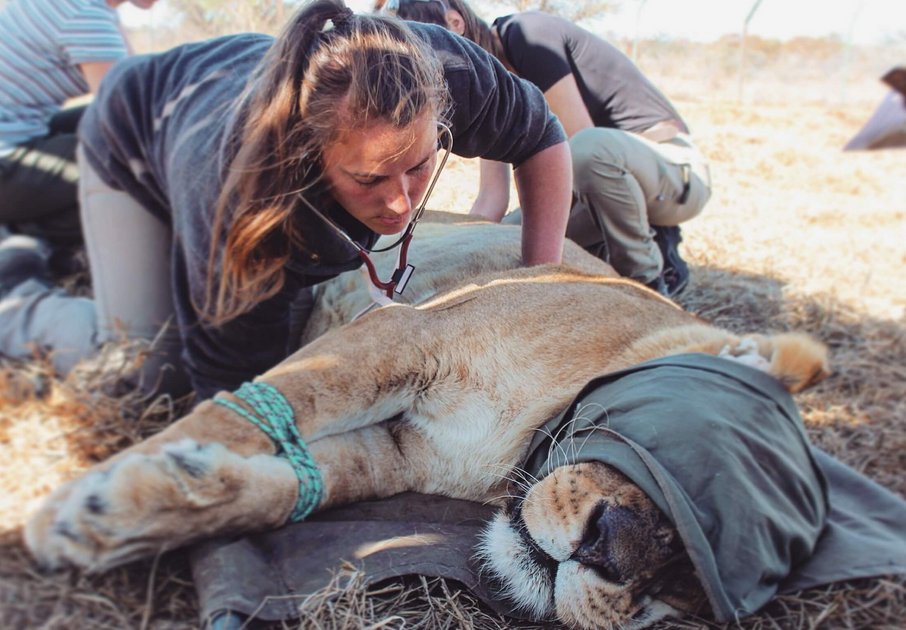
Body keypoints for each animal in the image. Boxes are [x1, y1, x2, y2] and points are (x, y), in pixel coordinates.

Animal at [24, 218, 829, 629]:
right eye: (660, 445)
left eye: (686, 587)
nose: (607, 552)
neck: (510, 456)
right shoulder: (401, 335)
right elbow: (241, 415)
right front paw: (61, 512)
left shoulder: (393, 453)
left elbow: (274, 492)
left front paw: (119, 516)